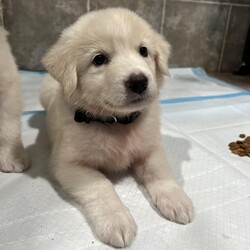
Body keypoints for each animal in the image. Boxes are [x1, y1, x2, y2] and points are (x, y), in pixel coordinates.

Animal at [40, 7, 193, 248]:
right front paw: (116, 221)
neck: (118, 123)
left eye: (143, 51)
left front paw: (177, 200)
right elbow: (100, 185)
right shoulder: (66, 164)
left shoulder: (151, 149)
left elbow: (160, 173)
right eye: (99, 59)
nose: (139, 81)